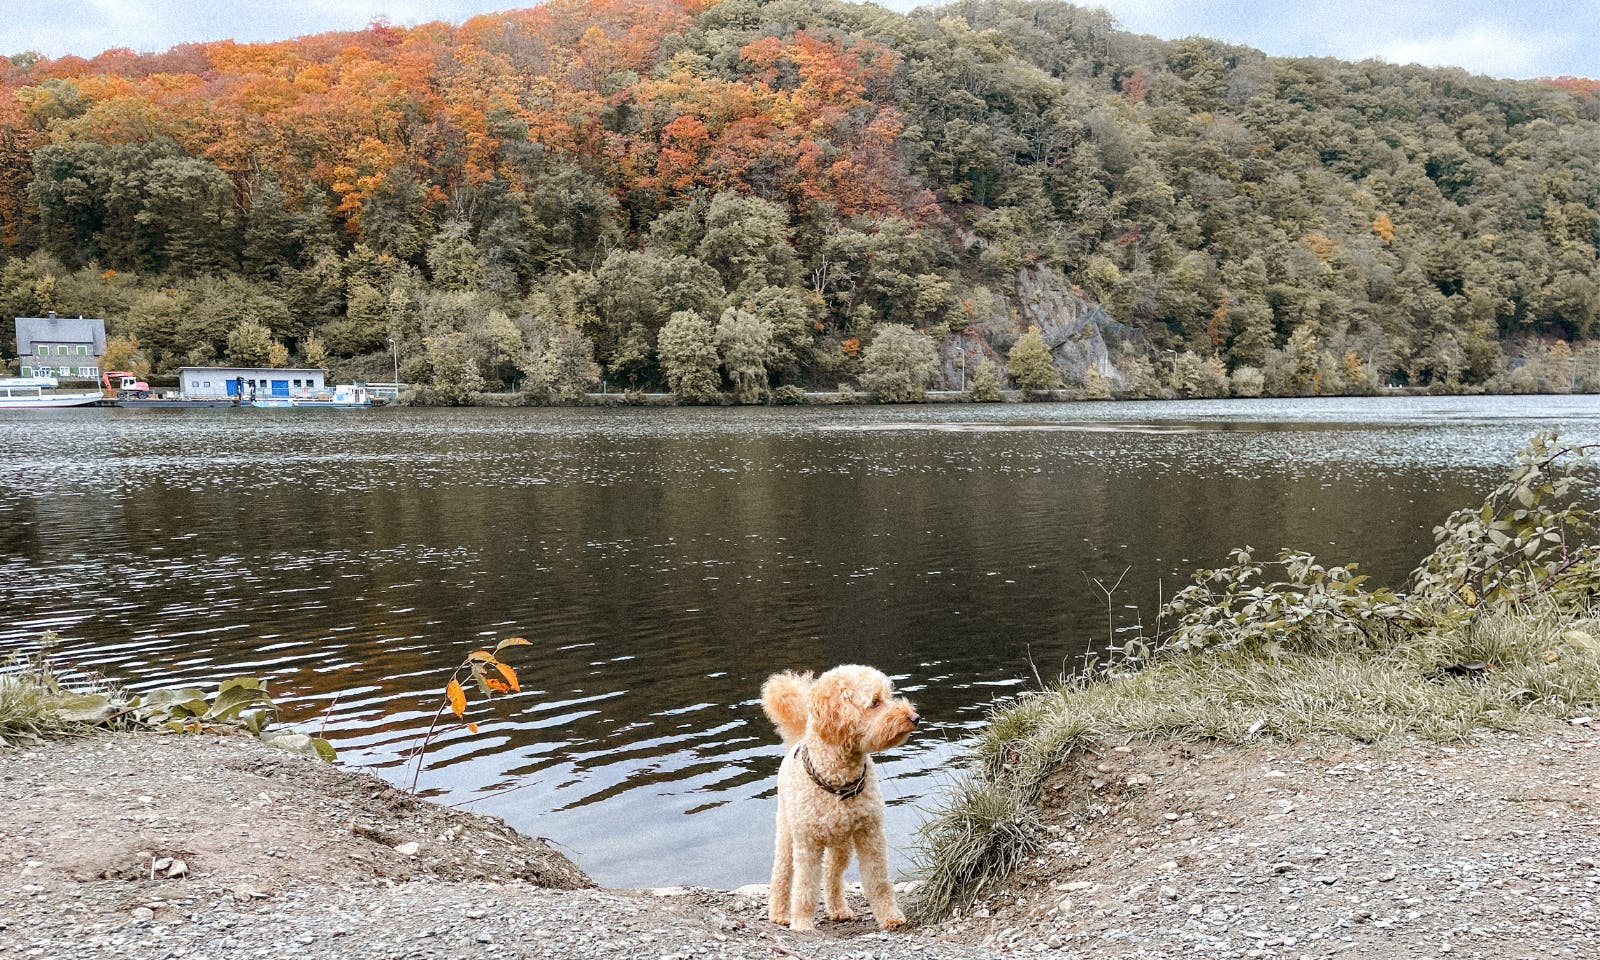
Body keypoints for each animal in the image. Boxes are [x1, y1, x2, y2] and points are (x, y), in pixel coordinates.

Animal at [758, 662, 921, 928]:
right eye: (875, 702)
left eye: (888, 695)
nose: (915, 717)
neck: (839, 782)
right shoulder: (807, 843)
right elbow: (805, 887)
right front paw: (801, 923)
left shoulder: (870, 834)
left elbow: (878, 881)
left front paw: (890, 917)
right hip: (787, 832)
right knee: (782, 873)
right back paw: (779, 914)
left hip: (841, 844)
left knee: (831, 874)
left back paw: (838, 909)